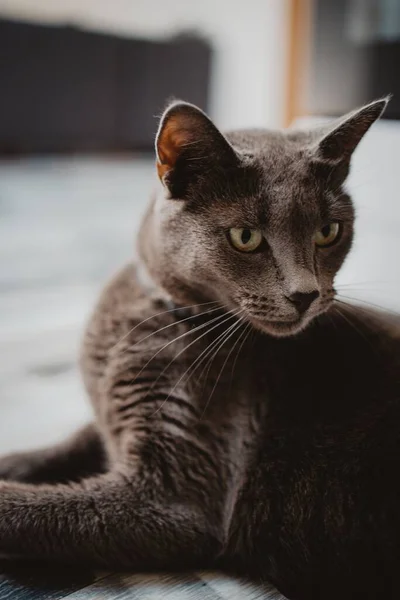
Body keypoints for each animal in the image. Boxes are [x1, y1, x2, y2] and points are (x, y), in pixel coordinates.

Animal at [0, 98, 400, 600]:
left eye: (329, 231)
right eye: (246, 237)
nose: (306, 294)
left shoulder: (175, 498)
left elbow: (31, 507)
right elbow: (76, 437)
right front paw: (13, 460)